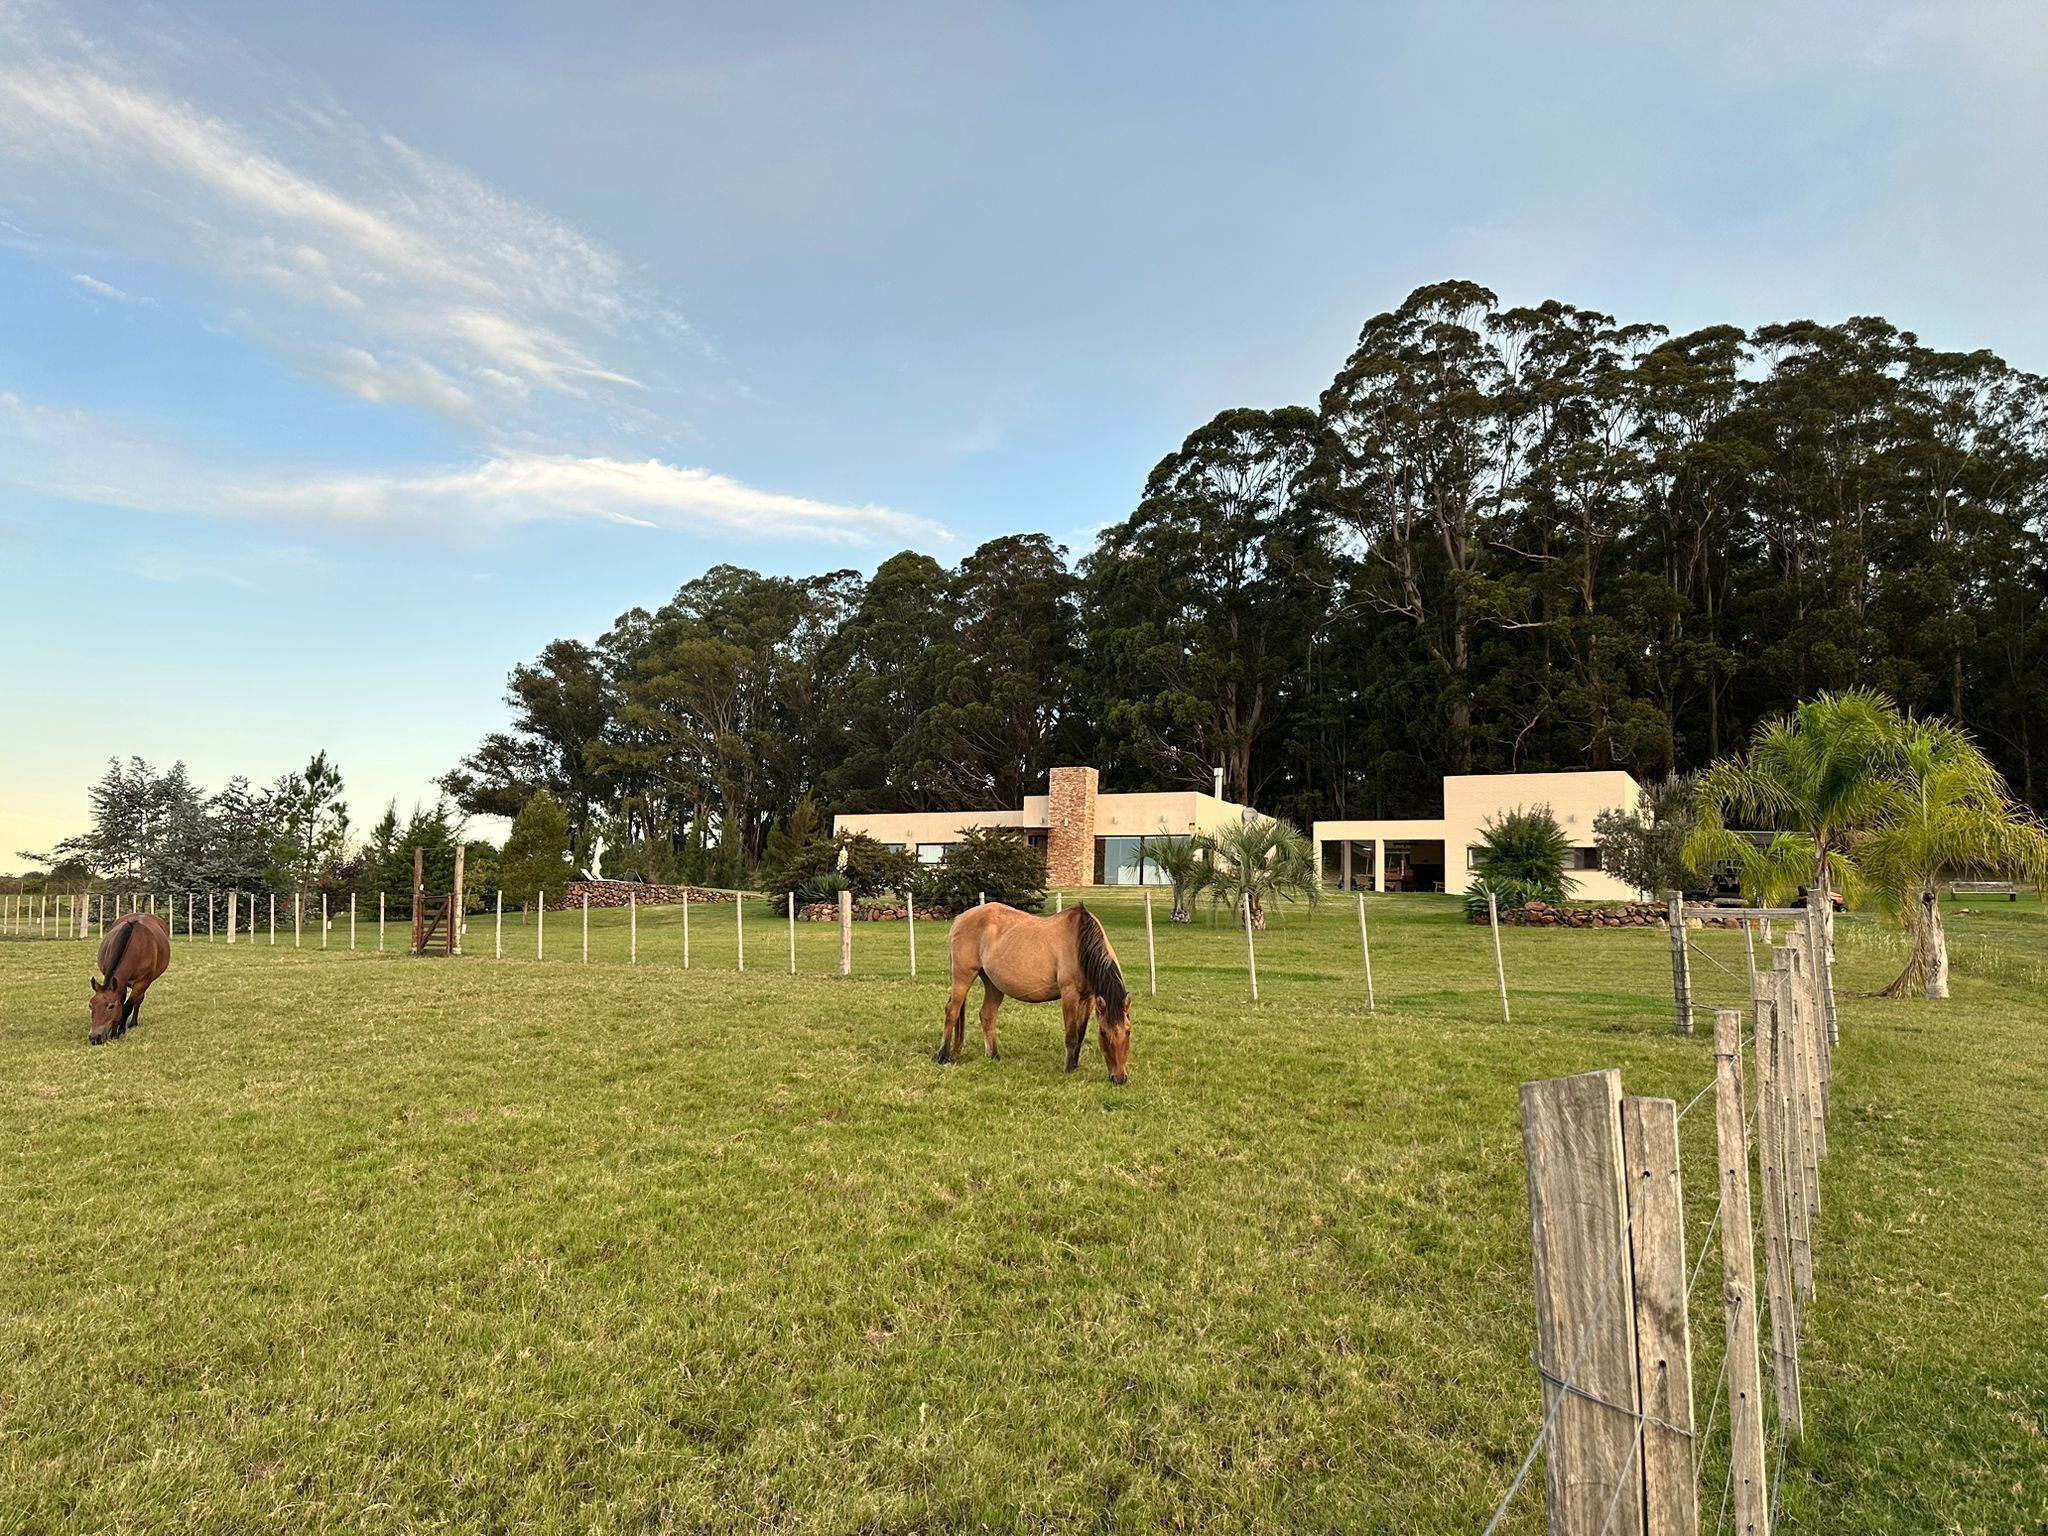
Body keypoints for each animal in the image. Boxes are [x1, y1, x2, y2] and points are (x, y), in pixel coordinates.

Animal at [89, 911, 171, 1045]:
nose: (95, 1038)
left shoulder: (141, 983)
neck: (136, 947)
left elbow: (127, 1007)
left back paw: (133, 1023)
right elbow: (122, 1004)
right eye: (90, 1005)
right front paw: (114, 1030)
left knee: (138, 1001)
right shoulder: (119, 983)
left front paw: (120, 1031)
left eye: (110, 1006)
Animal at [939, 902, 1132, 1084]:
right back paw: (943, 1056)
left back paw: (993, 1056)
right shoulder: (1069, 994)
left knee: (987, 1015)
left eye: (1128, 1031)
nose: (1119, 1078)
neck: (1080, 944)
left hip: (993, 984)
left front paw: (1076, 1064)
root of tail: (960, 918)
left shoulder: (1089, 998)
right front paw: (1069, 1069)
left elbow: (1081, 1034)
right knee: (952, 1012)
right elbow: (1071, 1035)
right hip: (963, 976)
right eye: (1103, 1033)